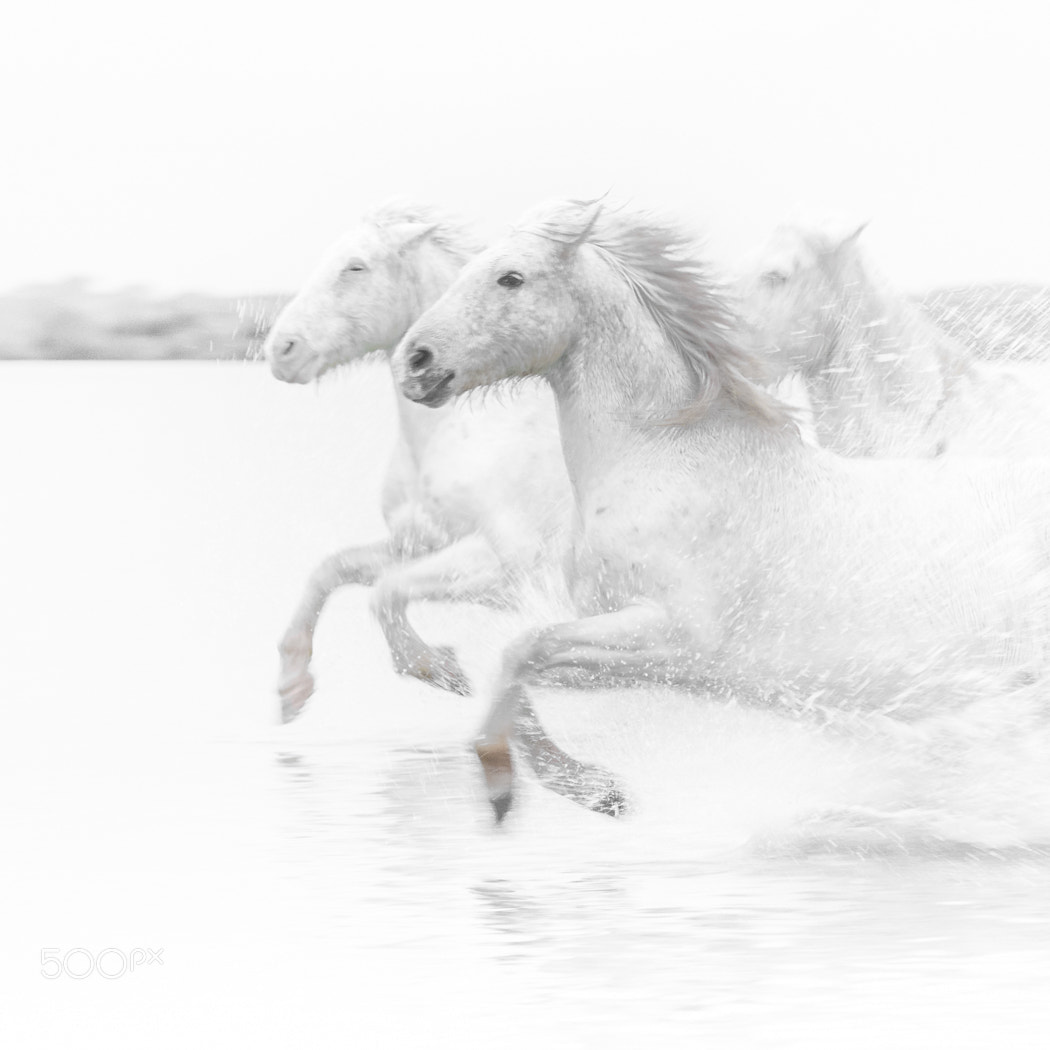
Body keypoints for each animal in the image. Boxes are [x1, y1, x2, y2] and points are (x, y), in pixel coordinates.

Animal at [263, 202, 572, 721]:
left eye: (355, 267)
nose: (282, 351)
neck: (455, 434)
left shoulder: (505, 567)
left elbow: (384, 592)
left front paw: (438, 669)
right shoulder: (417, 542)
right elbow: (333, 569)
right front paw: (292, 685)